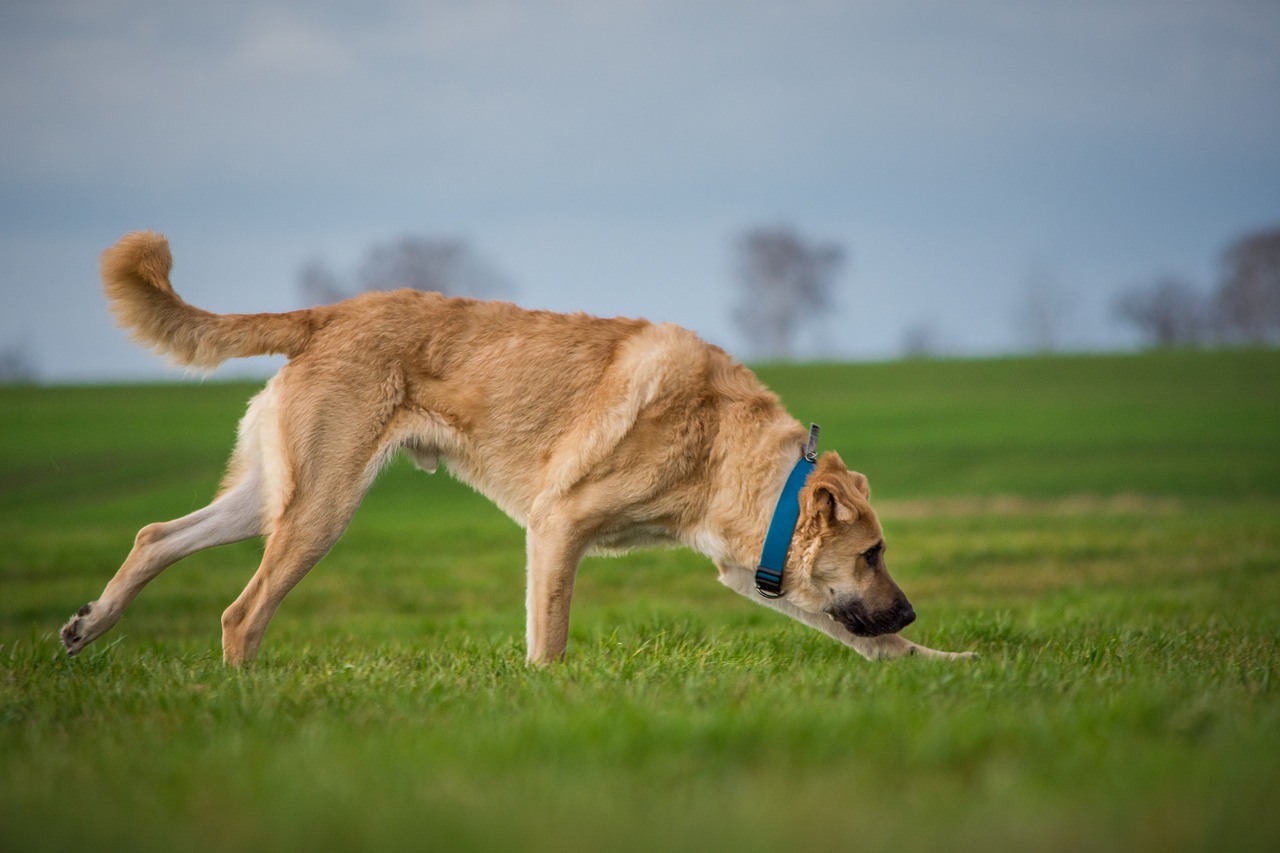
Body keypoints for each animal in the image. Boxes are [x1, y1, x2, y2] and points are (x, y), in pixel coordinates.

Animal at [60, 233, 967, 666]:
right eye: (875, 550)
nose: (912, 607)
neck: (723, 448)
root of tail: (330, 312)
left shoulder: (755, 574)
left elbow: (872, 643)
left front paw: (949, 662)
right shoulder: (557, 526)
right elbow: (551, 641)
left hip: (273, 499)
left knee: (155, 536)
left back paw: (90, 624)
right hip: (319, 511)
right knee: (240, 614)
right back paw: (246, 702)